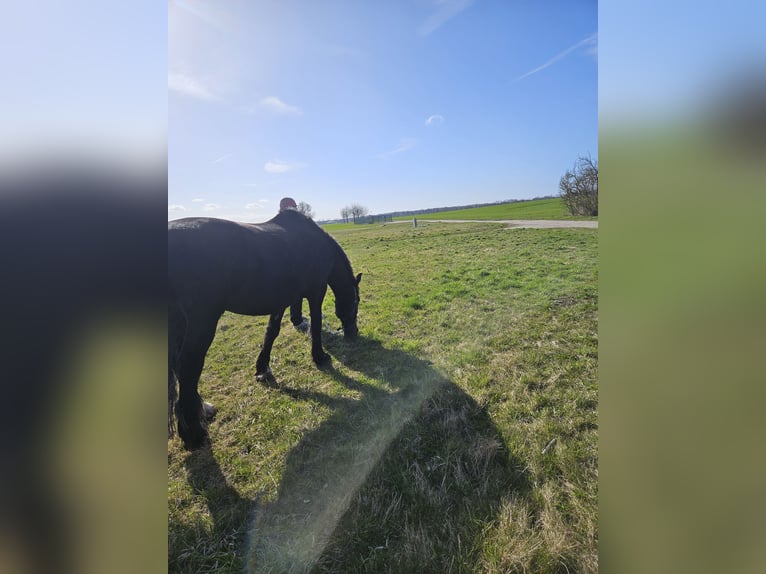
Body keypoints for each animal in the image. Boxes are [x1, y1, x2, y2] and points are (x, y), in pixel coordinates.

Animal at [168, 209, 362, 450]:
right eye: (356, 301)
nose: (353, 333)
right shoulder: (316, 292)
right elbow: (316, 325)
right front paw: (320, 357)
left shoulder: (282, 299)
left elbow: (271, 332)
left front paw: (262, 368)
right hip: (201, 321)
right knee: (189, 367)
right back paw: (194, 434)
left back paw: (202, 410)